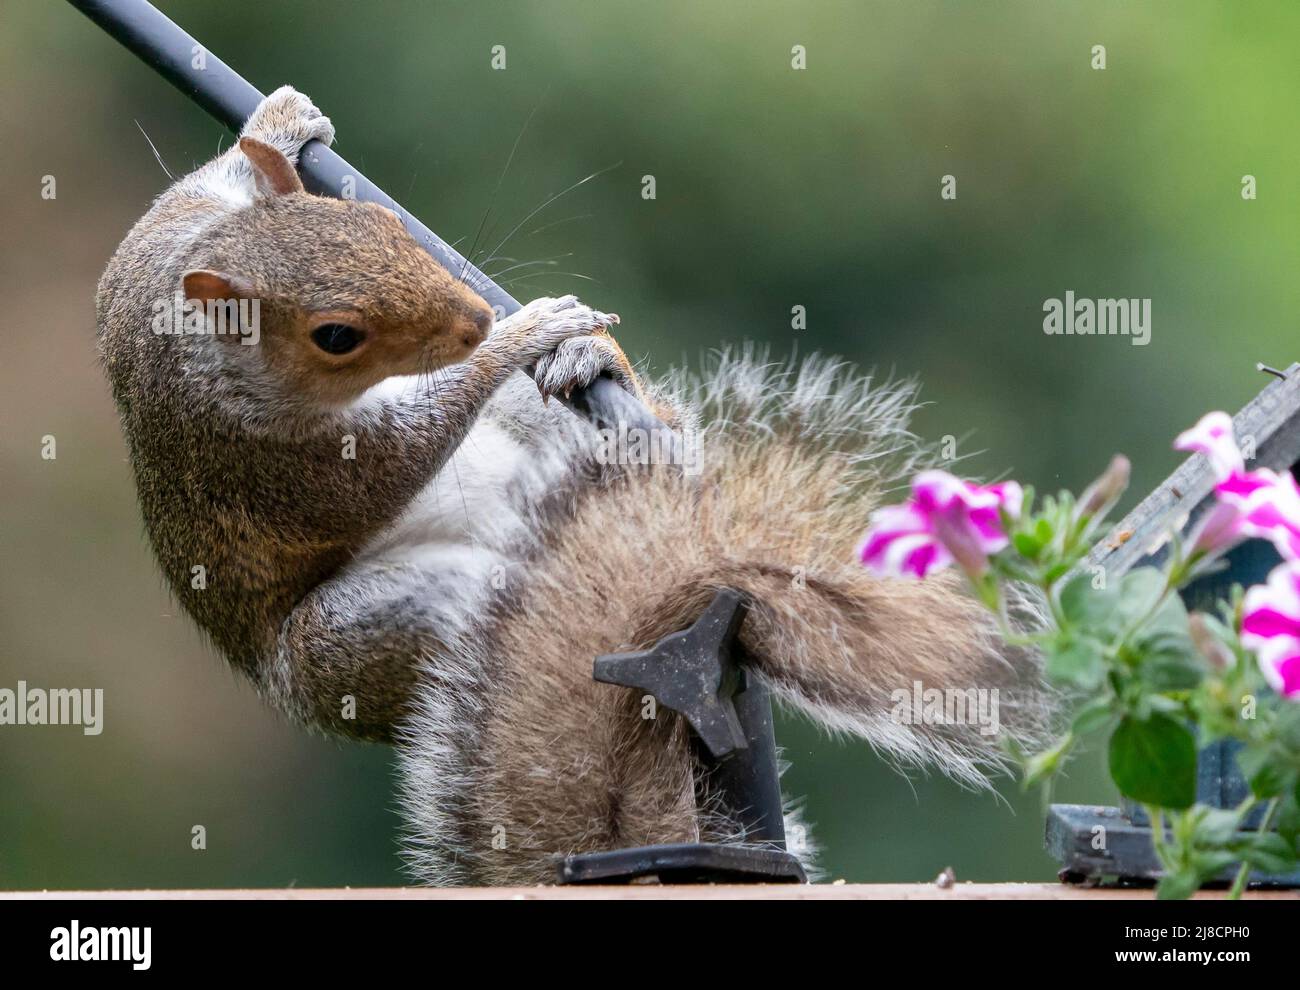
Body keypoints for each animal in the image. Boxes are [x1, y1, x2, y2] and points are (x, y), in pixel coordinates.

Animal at [97, 87, 1050, 885]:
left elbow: (184, 199)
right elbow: (393, 463)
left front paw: (273, 128)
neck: (193, 333)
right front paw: (514, 340)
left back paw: (603, 373)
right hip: (360, 639)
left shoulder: (151, 257)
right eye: (336, 335)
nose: (475, 318)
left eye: (378, 227)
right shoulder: (270, 457)